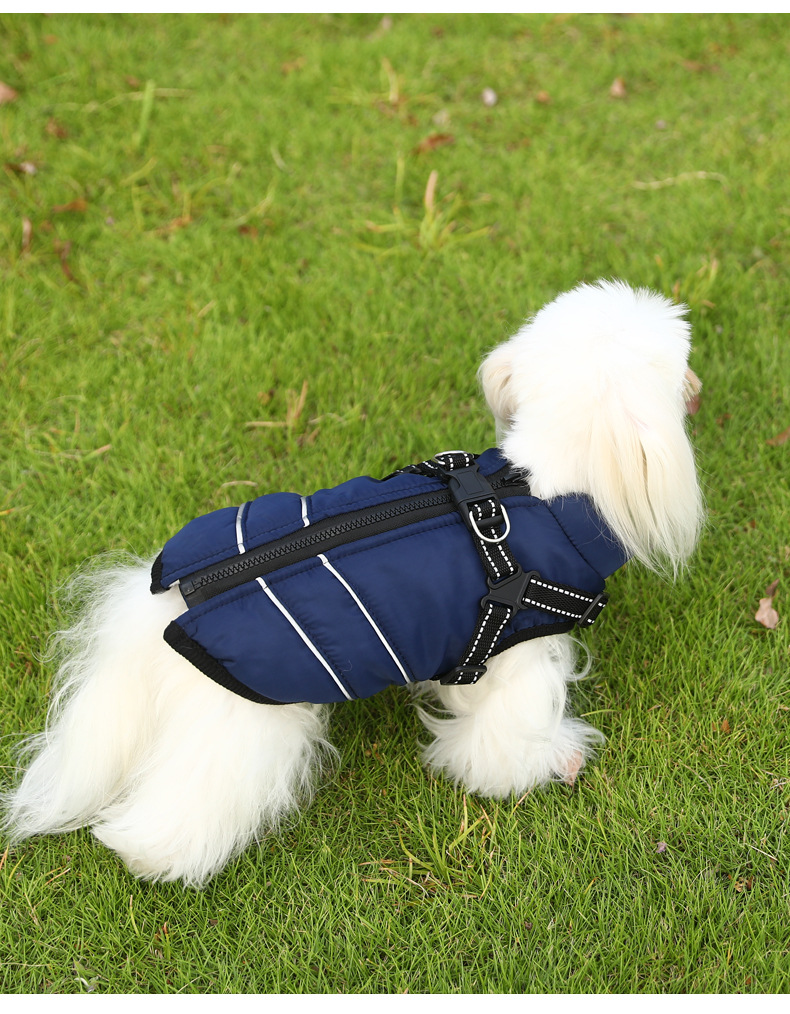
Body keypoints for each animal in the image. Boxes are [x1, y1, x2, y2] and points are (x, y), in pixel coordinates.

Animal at [2, 280, 703, 886]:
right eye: (683, 364)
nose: (699, 389)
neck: (529, 491)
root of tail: (162, 605)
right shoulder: (516, 646)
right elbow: (511, 731)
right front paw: (542, 765)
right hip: (243, 723)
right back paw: (155, 857)